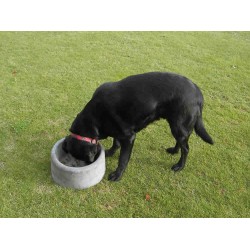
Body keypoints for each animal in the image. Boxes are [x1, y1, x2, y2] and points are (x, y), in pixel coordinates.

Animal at [62, 72, 213, 182]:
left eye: (81, 159)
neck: (94, 117)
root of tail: (198, 92)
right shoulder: (118, 132)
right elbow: (115, 142)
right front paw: (110, 152)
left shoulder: (129, 136)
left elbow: (123, 159)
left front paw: (117, 175)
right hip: (175, 124)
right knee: (181, 143)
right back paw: (174, 151)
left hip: (179, 125)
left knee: (186, 148)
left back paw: (179, 166)